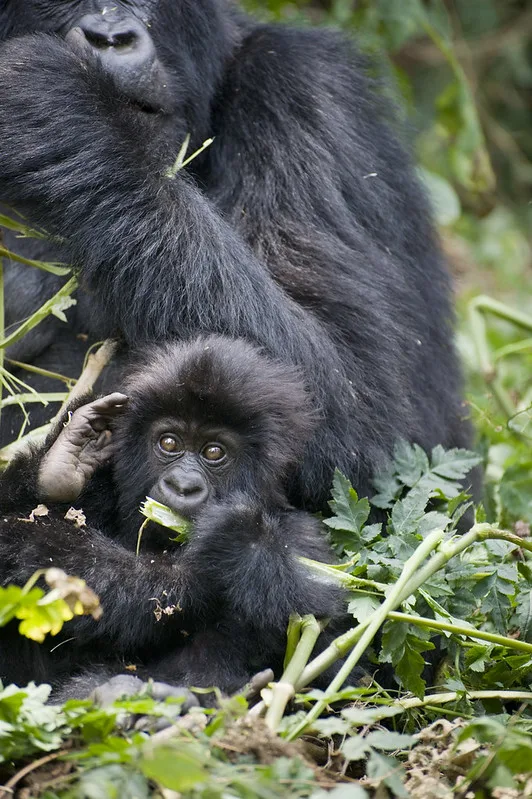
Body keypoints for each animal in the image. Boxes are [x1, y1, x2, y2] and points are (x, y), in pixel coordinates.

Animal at [0, 334, 340, 704]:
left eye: (214, 452)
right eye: (169, 442)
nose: (182, 485)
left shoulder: (305, 539)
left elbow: (322, 634)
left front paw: (238, 539)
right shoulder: (104, 489)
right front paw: (65, 461)